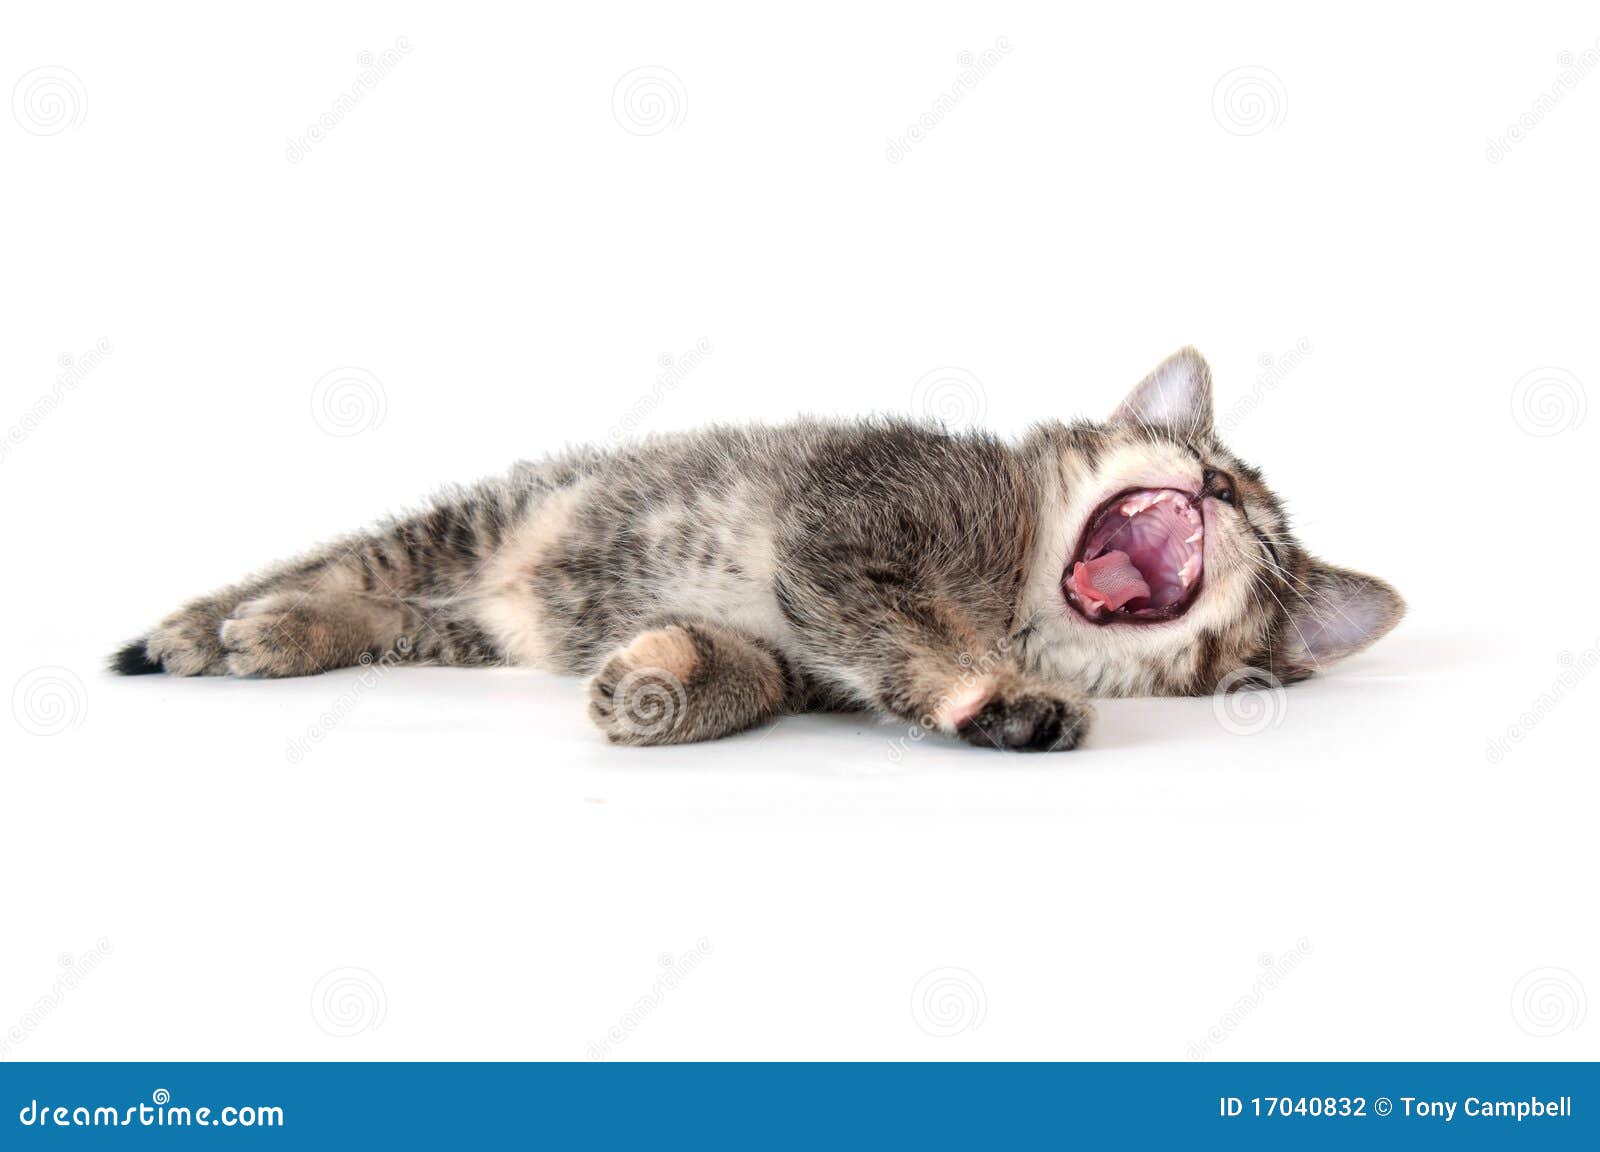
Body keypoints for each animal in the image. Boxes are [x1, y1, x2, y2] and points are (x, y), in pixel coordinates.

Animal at [116, 347, 1401, 752]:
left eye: (1266, 545)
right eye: (1205, 459)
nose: (1217, 487)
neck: (1021, 589)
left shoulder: (806, 655)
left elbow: (757, 671)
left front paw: (660, 685)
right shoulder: (852, 519)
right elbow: (902, 622)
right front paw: (984, 689)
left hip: (457, 625)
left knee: (393, 615)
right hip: (474, 518)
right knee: (346, 563)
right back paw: (226, 623)